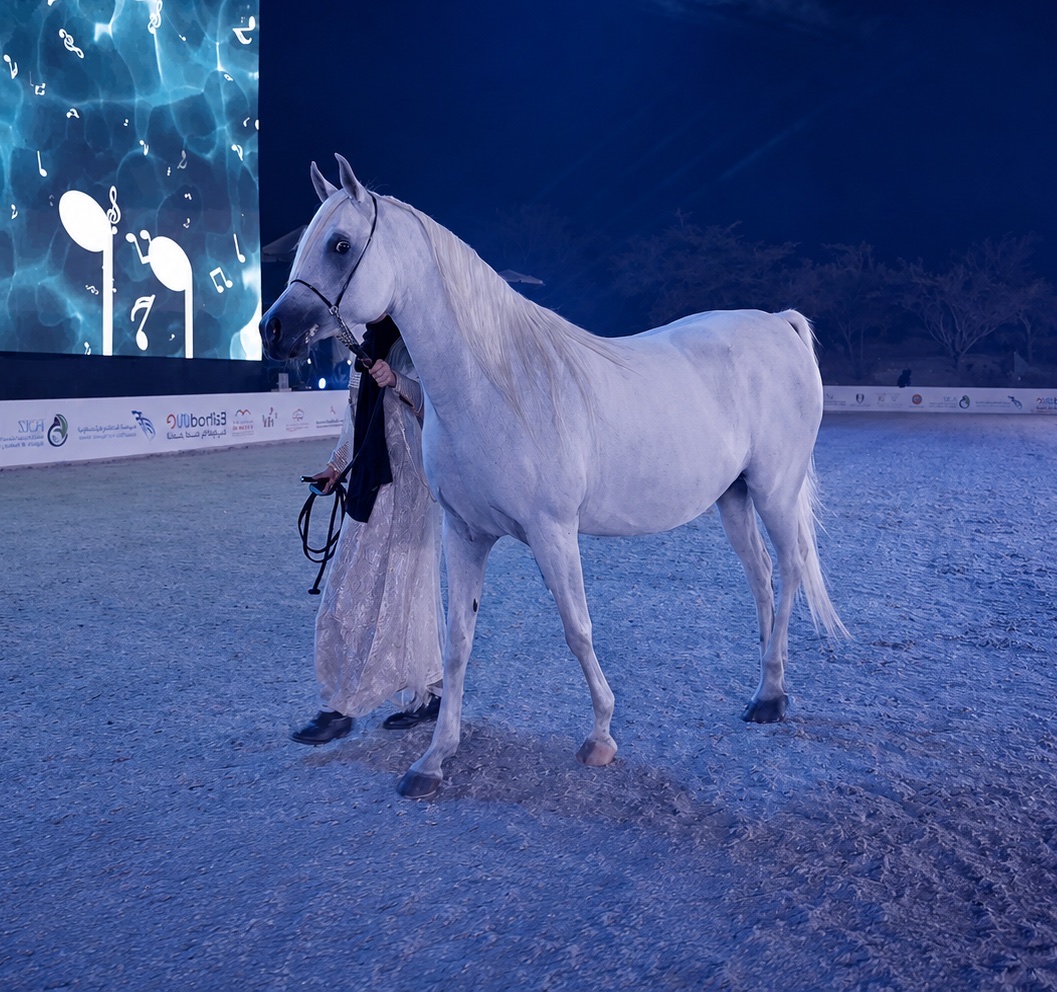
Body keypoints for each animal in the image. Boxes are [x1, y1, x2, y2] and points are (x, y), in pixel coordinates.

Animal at [261, 155, 847, 799]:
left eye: (340, 244)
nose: (272, 329)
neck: (495, 386)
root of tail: (778, 323)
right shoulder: (465, 534)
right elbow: (456, 644)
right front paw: (434, 758)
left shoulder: (553, 532)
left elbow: (577, 628)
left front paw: (601, 736)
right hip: (734, 497)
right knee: (761, 576)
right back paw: (766, 685)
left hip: (774, 492)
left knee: (788, 571)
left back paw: (771, 699)